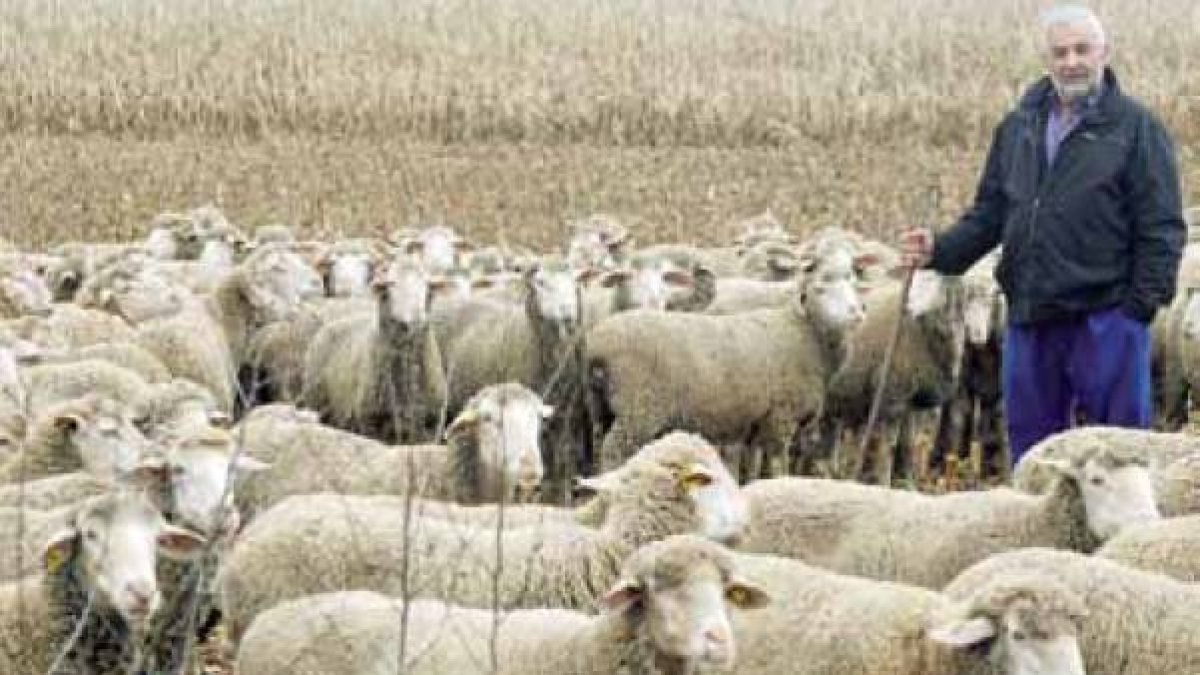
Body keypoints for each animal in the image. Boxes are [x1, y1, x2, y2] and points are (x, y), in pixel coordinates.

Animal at [586, 240, 866, 481]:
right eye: (821, 286)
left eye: (853, 281)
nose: (858, 313)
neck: (807, 334)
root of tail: (598, 345)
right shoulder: (780, 419)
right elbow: (778, 466)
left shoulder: (757, 425)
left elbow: (755, 468)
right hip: (638, 408)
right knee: (614, 450)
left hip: (602, 409)